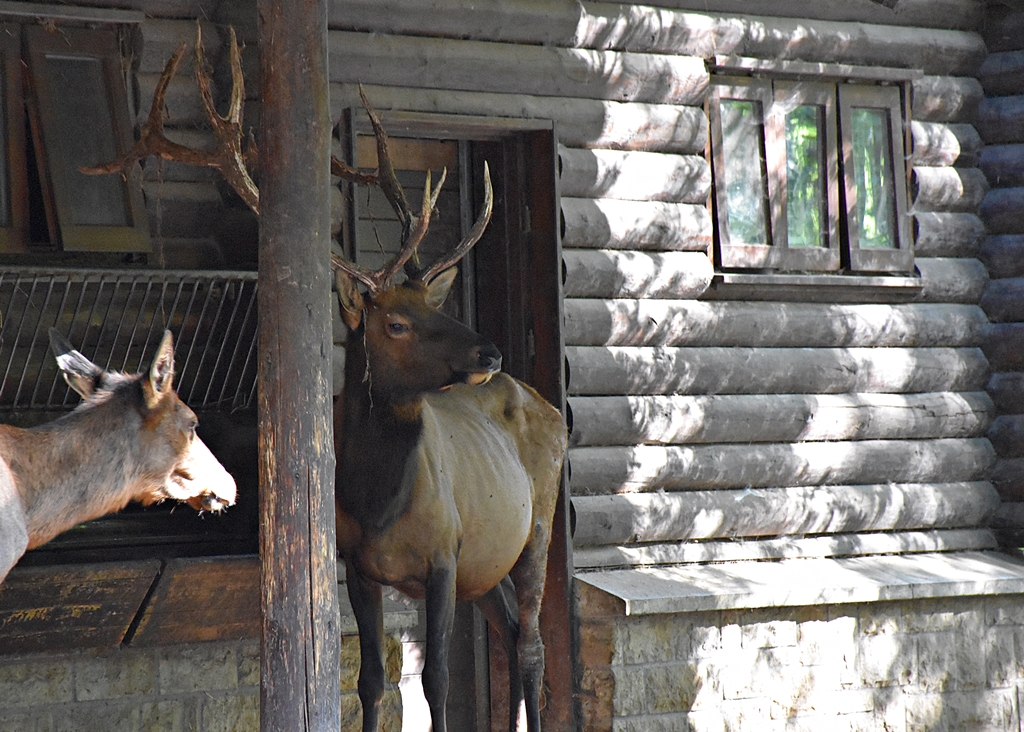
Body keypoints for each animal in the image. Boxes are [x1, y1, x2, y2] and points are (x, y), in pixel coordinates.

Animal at [83, 28, 568, 732]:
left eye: (433, 305)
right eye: (397, 321)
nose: (491, 351)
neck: (379, 498)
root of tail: (545, 404)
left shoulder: (445, 556)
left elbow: (439, 678)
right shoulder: (360, 565)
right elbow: (371, 679)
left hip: (538, 526)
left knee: (530, 642)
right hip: (491, 561)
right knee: (511, 633)